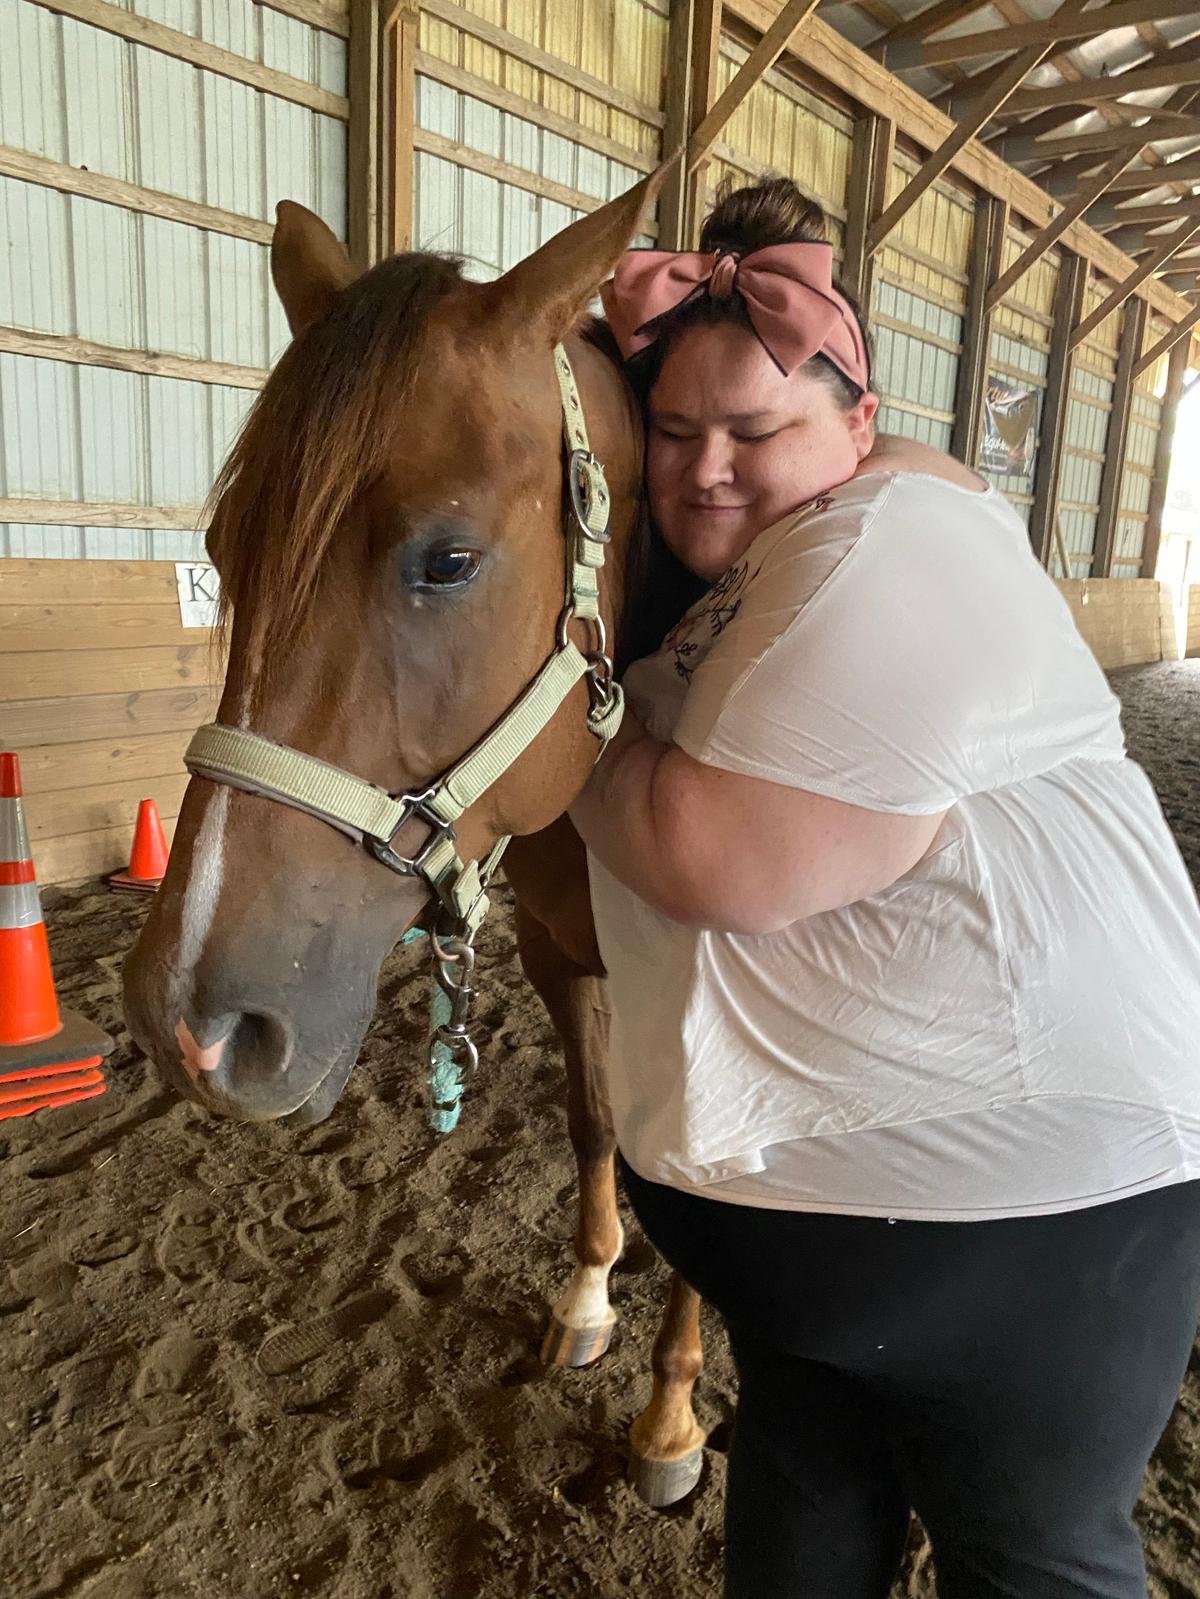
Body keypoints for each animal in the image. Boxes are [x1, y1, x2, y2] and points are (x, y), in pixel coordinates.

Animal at [122, 167, 709, 1507]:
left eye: (448, 560)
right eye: (226, 551)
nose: (191, 1023)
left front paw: (670, 1418)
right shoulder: (563, 959)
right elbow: (597, 1125)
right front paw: (587, 1303)